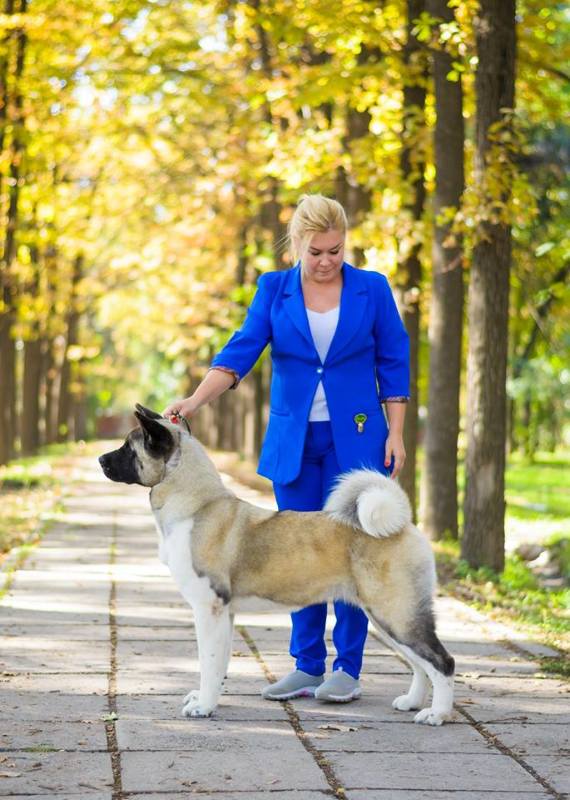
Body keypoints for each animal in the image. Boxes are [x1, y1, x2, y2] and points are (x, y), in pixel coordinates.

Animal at [99, 404, 455, 725]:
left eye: (128, 447)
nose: (100, 459)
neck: (198, 505)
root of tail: (403, 524)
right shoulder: (224, 615)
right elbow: (219, 664)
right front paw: (208, 699)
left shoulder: (208, 610)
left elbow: (207, 663)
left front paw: (203, 708)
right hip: (388, 618)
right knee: (420, 664)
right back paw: (411, 702)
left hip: (395, 614)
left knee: (442, 662)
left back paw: (436, 714)